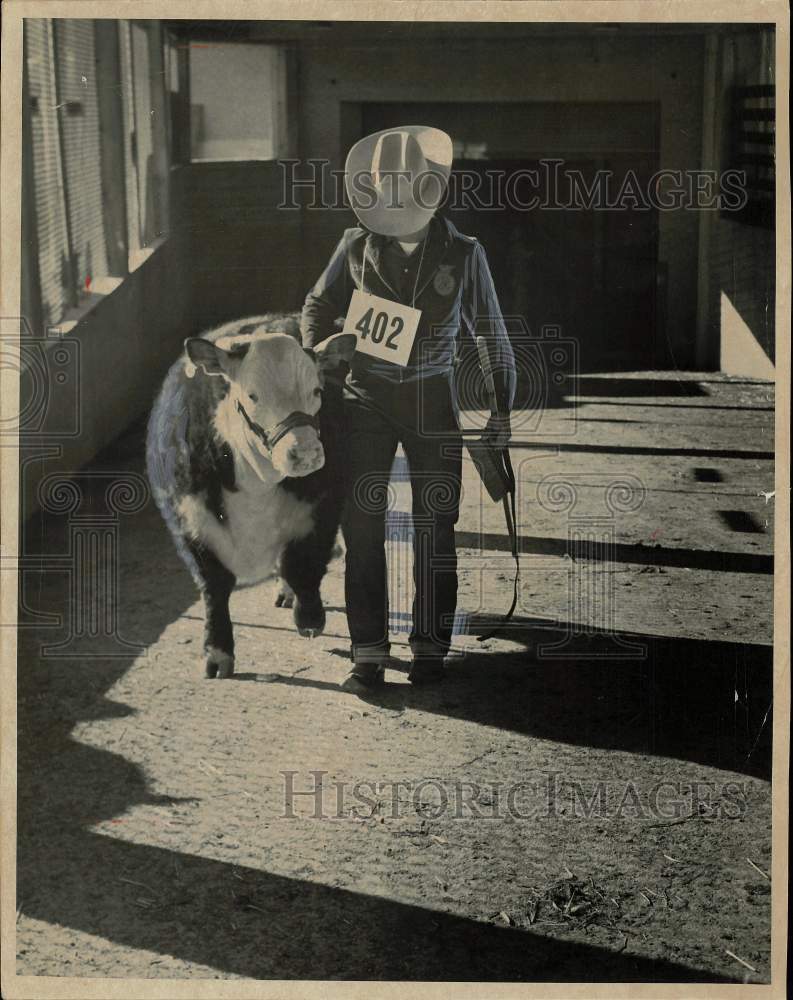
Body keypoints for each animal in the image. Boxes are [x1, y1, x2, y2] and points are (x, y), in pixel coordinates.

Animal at [146, 316, 356, 676]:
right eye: (253, 395)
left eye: (316, 390)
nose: (306, 453)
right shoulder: (191, 522)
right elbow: (214, 586)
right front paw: (217, 653)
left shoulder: (322, 506)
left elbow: (302, 564)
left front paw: (309, 618)